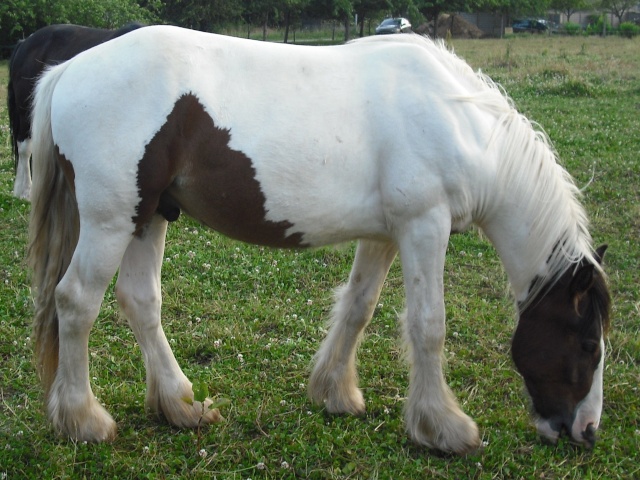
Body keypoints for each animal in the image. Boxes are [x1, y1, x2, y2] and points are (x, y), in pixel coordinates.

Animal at [28, 26, 608, 454]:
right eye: (587, 343)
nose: (586, 431)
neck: (457, 121)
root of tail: (68, 69)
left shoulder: (387, 234)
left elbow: (358, 307)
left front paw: (335, 393)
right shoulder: (425, 226)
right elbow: (428, 326)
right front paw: (444, 428)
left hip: (148, 216)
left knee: (141, 302)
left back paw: (181, 407)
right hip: (110, 221)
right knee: (75, 302)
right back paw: (83, 420)